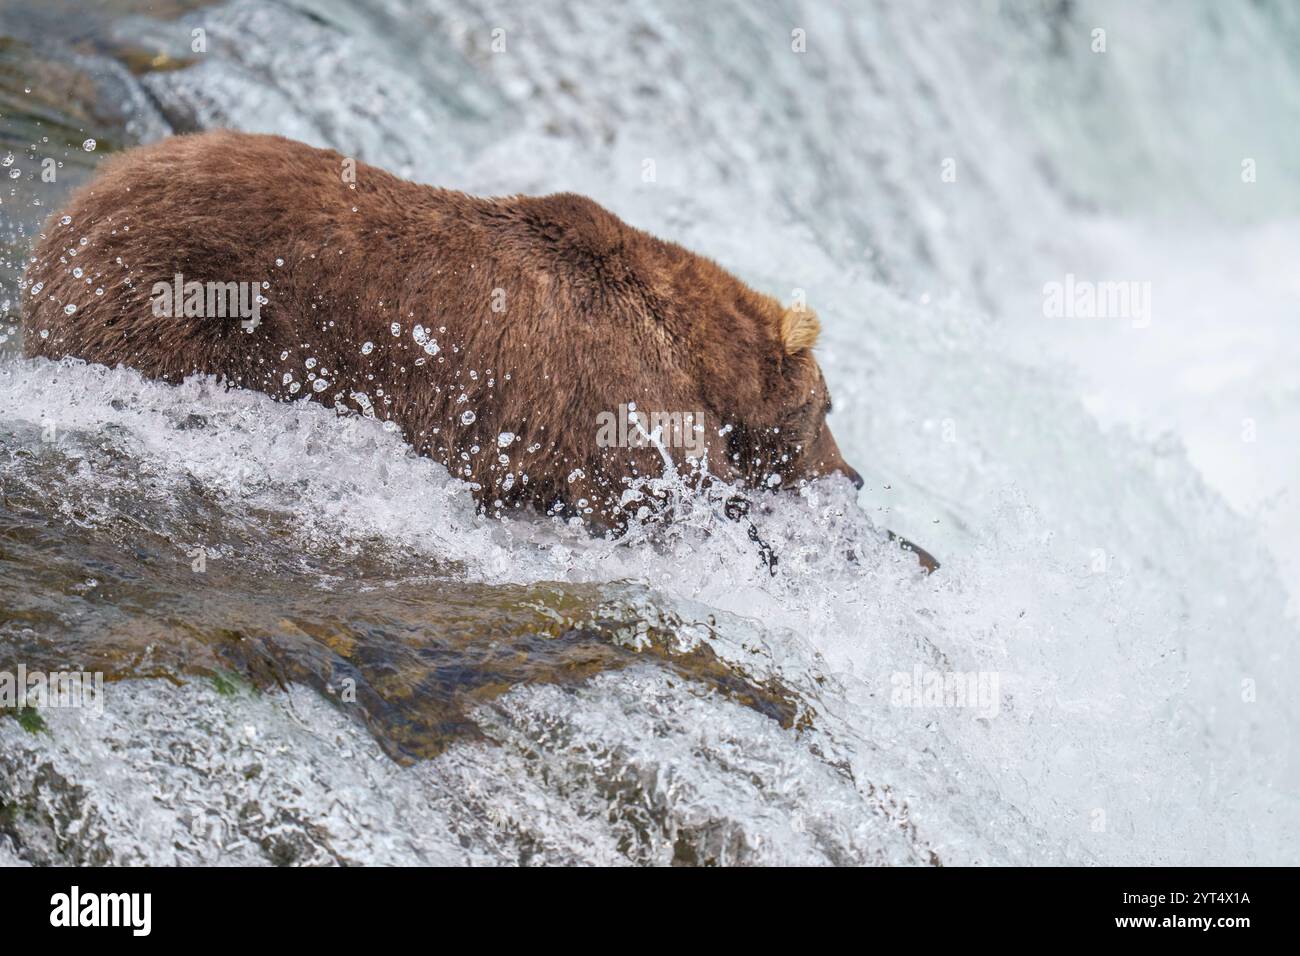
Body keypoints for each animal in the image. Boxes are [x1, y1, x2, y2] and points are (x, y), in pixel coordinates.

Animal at [22, 132, 935, 572]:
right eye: (826, 408)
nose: (854, 474)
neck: (698, 357)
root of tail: (71, 210)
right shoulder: (615, 401)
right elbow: (668, 501)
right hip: (178, 301)